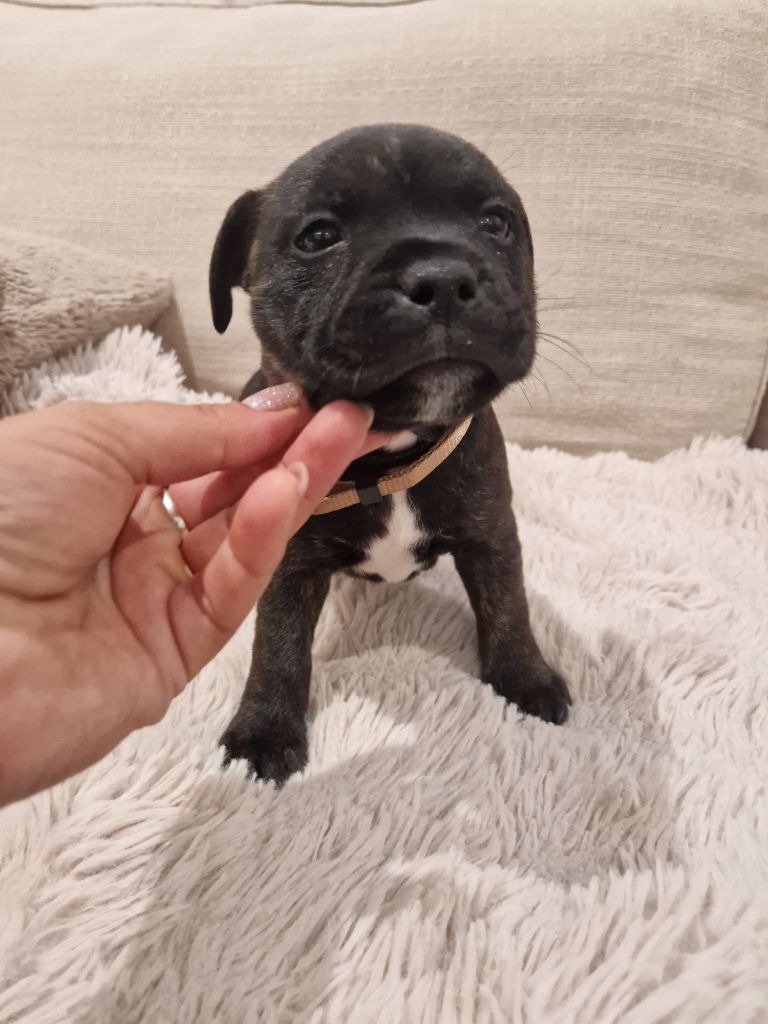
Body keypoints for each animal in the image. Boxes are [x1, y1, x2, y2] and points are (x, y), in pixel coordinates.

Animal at [209, 124, 571, 783]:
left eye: (495, 223)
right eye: (318, 236)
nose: (442, 278)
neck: (392, 452)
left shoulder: (491, 532)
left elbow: (509, 605)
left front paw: (525, 679)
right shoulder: (287, 560)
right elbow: (277, 644)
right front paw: (264, 733)